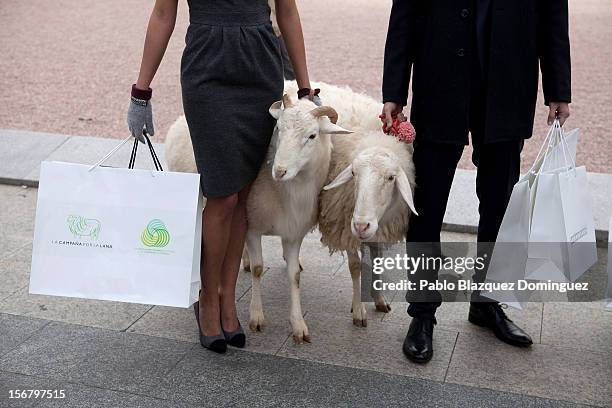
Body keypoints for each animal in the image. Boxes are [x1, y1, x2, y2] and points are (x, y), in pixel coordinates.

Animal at [165, 91, 352, 342]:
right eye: (278, 129)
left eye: (312, 136)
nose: (280, 171)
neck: (288, 192)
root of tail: (179, 120)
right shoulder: (252, 227)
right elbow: (258, 268)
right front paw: (256, 317)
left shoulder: (294, 232)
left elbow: (294, 275)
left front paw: (298, 324)